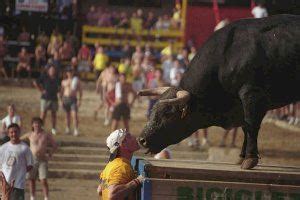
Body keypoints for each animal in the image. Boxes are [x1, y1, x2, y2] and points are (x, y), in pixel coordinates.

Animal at [138, 14, 300, 170]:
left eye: (168, 113)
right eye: (153, 111)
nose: (141, 140)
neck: (227, 56)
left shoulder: (252, 94)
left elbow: (251, 125)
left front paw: (250, 158)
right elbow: (244, 127)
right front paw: (242, 156)